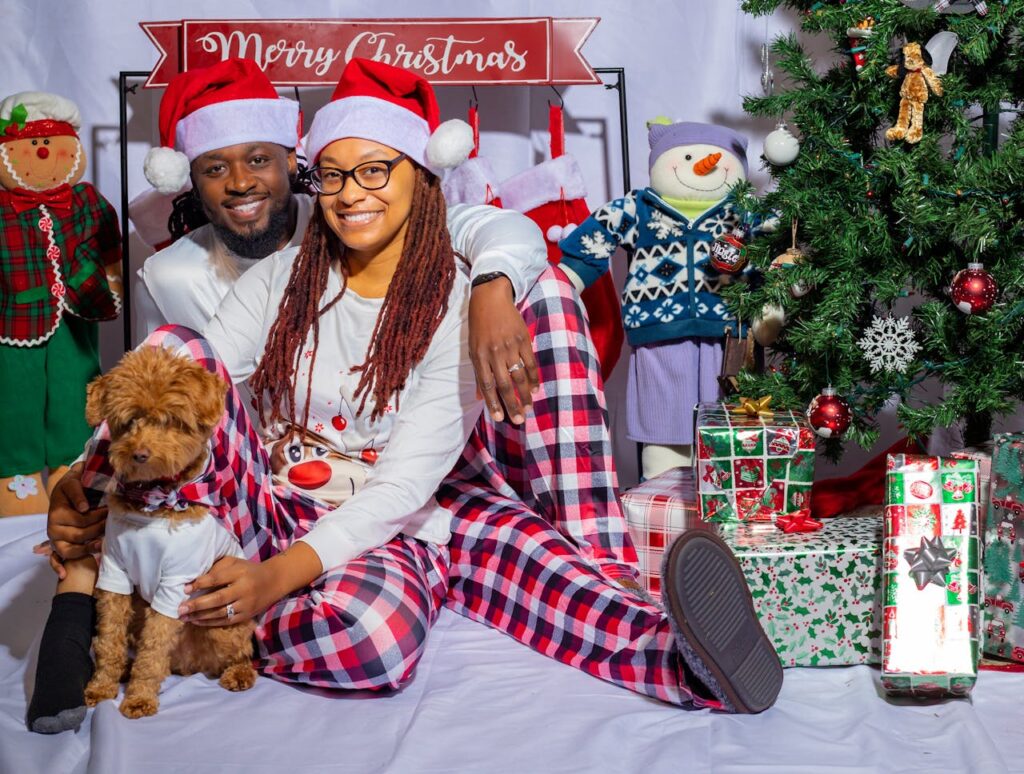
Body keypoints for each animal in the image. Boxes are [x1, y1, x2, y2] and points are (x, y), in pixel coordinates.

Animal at [81, 344, 258, 720]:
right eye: (128, 421)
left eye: (171, 421)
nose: (139, 453)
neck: (153, 504)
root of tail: (191, 665)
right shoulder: (114, 575)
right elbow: (109, 638)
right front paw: (101, 687)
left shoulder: (176, 584)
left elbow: (153, 649)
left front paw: (139, 699)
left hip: (225, 629)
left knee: (241, 654)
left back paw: (238, 674)